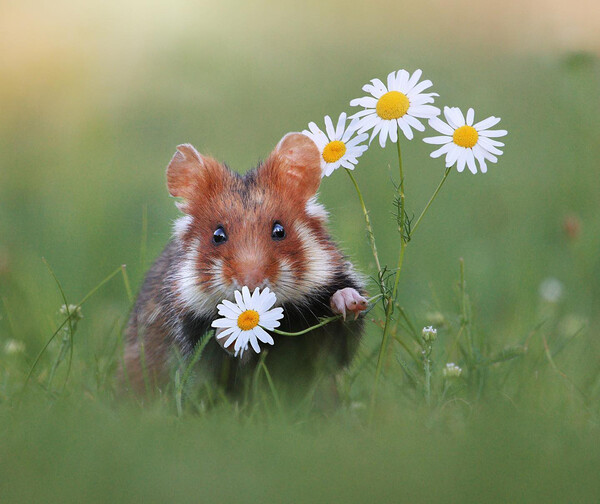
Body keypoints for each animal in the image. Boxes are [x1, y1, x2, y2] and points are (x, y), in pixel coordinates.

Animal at [123, 133, 368, 398]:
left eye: (279, 230)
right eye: (218, 235)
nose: (251, 283)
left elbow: (337, 347)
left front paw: (348, 300)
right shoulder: (190, 336)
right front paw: (228, 334)